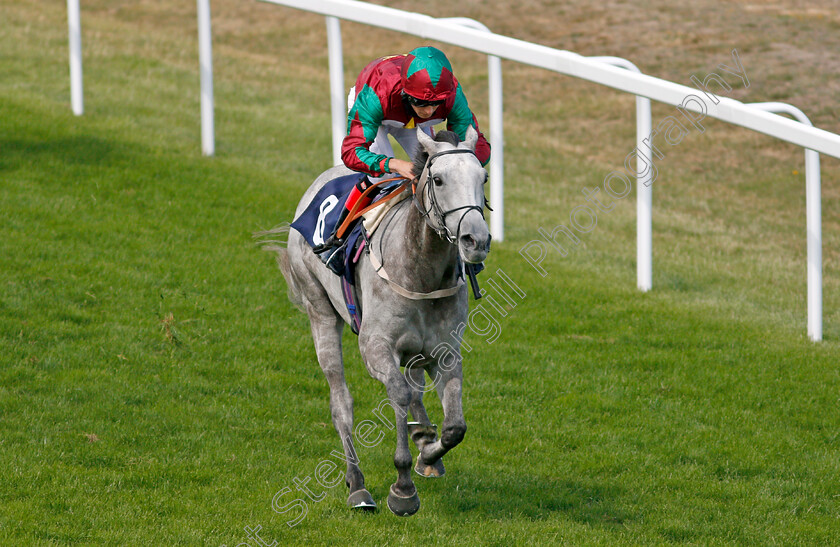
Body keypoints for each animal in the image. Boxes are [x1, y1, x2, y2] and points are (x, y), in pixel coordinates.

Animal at [266, 127, 492, 520]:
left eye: (483, 178)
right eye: (438, 179)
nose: (476, 240)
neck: (420, 271)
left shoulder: (446, 352)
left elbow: (455, 427)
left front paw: (428, 453)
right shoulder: (375, 347)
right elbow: (398, 394)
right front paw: (403, 487)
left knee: (415, 384)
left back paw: (423, 435)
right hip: (320, 312)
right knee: (341, 403)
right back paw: (357, 484)